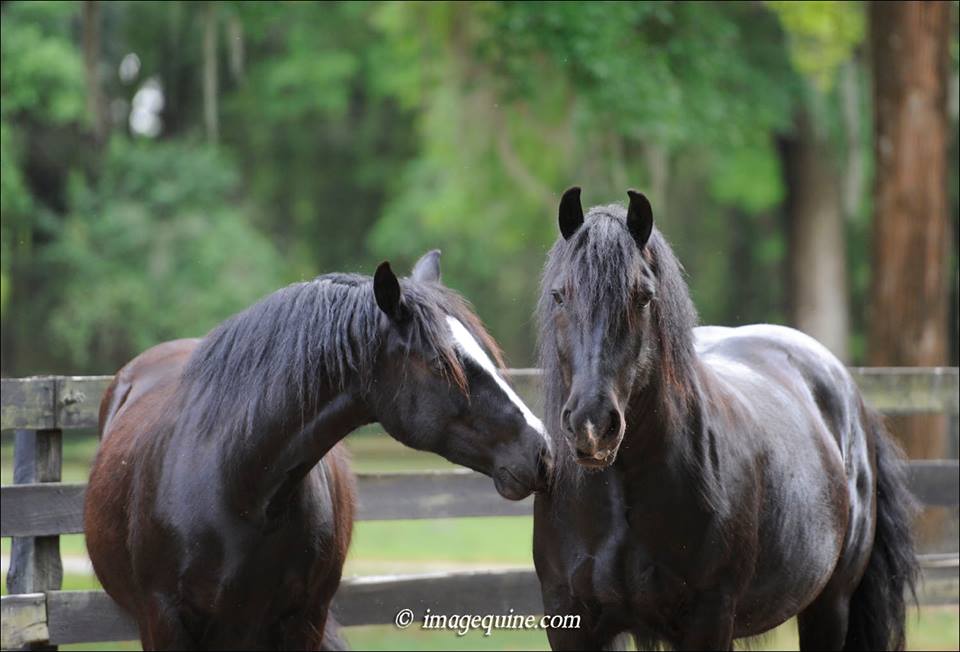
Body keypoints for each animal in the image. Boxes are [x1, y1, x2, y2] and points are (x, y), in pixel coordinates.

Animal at [532, 188, 918, 651]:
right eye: (560, 295)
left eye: (643, 296)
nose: (592, 426)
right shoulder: (570, 620)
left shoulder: (709, 617)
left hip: (830, 607)